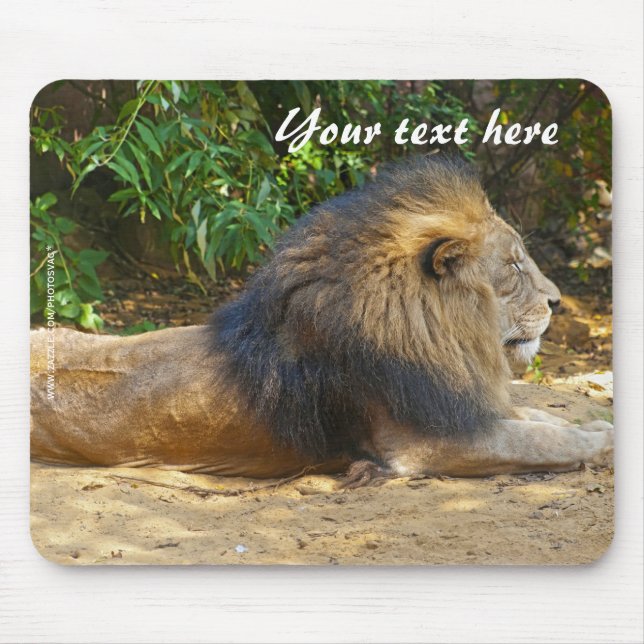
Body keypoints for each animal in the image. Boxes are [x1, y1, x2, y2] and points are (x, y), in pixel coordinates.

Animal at [30, 156, 613, 483]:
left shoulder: (461, 403)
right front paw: (600, 442)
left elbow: (538, 419)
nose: (558, 301)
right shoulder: (426, 442)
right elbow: (538, 441)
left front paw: (589, 423)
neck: (446, 339)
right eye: (513, 266)